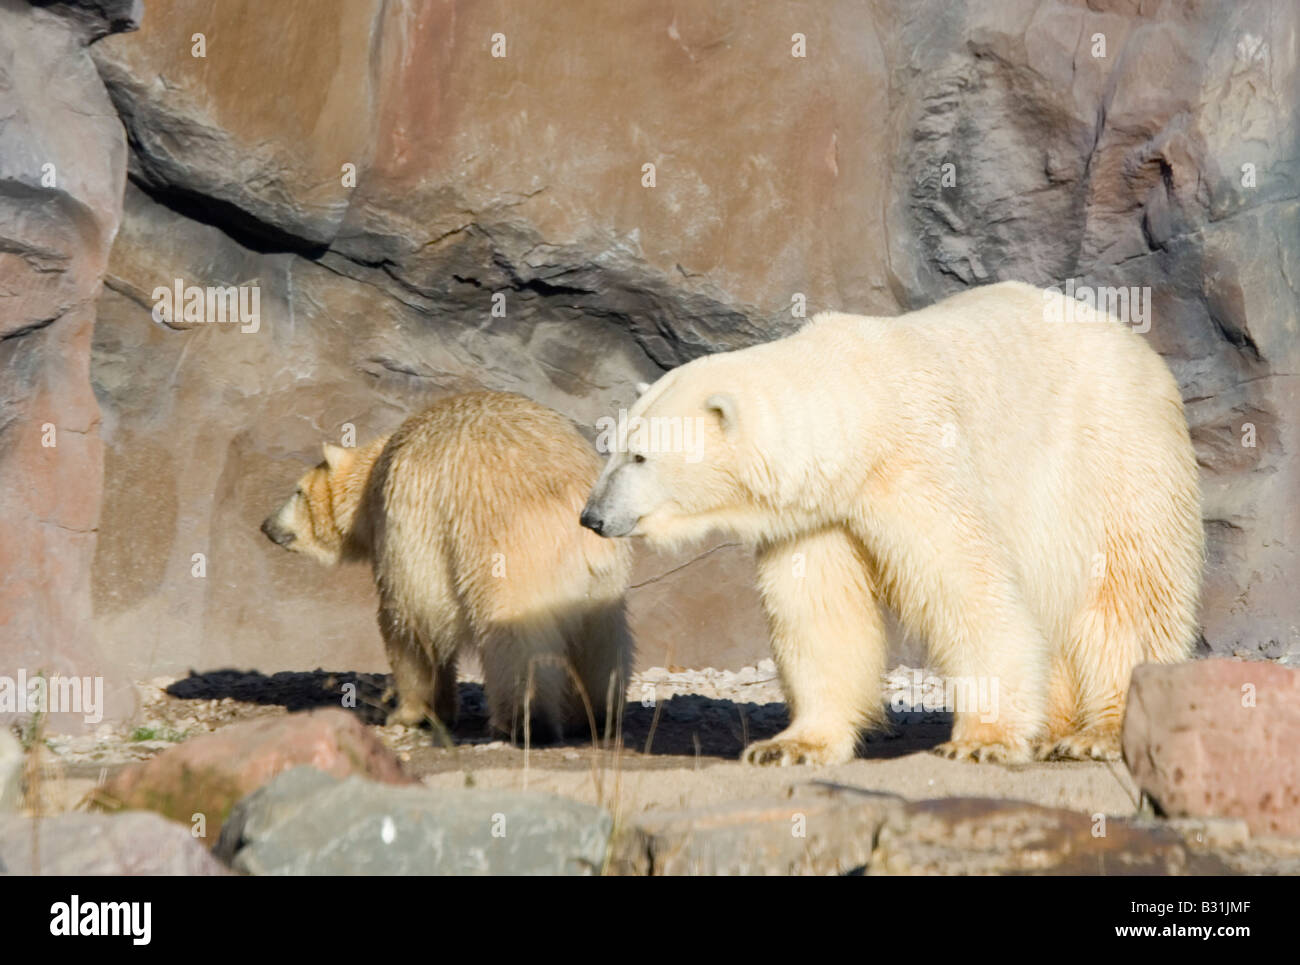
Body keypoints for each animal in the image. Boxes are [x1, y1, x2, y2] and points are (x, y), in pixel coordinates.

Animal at [262, 391, 633, 742]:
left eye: (297, 491)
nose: (266, 525)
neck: (375, 473)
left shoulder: (410, 522)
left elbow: (411, 619)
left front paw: (412, 713)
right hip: (602, 580)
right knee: (602, 641)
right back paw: (597, 714)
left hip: (510, 553)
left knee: (517, 638)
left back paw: (524, 721)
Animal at [581, 281, 1202, 766]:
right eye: (614, 448)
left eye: (639, 456)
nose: (592, 516)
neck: (858, 402)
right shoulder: (818, 514)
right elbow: (820, 615)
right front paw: (790, 745)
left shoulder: (916, 466)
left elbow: (969, 586)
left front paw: (983, 740)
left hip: (1112, 451)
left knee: (1128, 592)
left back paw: (1100, 732)